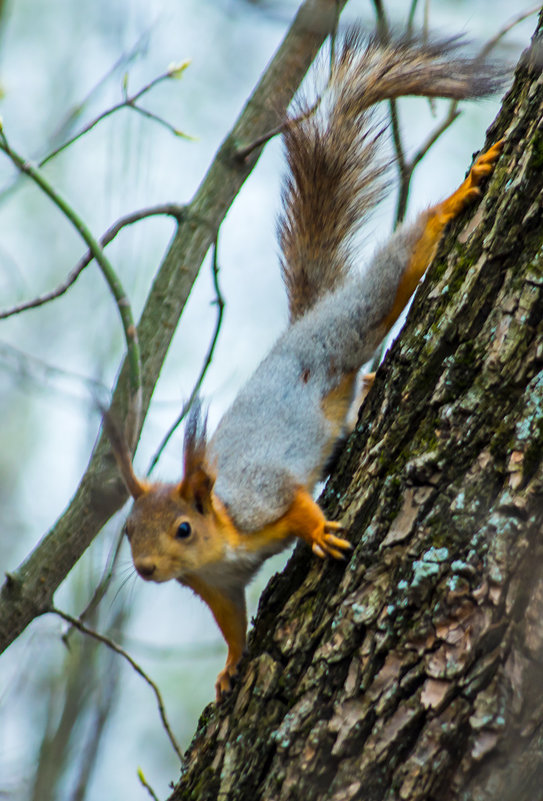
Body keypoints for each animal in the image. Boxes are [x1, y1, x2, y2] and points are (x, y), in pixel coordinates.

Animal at [106, 31, 506, 696]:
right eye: (128, 532)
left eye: (183, 529)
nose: (146, 568)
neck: (223, 535)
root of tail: (297, 328)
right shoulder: (218, 588)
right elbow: (232, 623)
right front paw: (231, 666)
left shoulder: (261, 496)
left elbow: (296, 500)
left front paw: (318, 530)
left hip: (345, 328)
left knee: (394, 272)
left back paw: (451, 206)